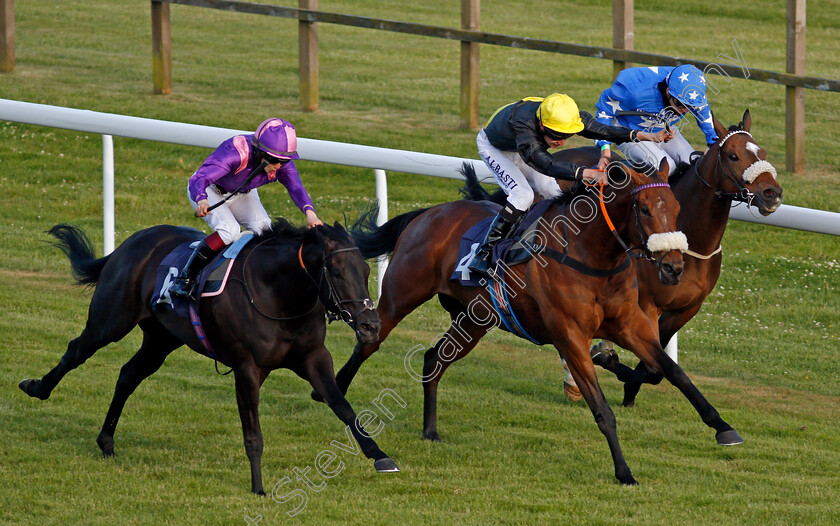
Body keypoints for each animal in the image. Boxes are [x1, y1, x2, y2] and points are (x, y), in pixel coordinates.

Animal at [18, 221, 398, 498]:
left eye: (367, 271)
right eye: (337, 271)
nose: (370, 325)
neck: (278, 294)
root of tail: (132, 242)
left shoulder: (313, 359)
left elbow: (344, 407)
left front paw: (380, 456)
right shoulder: (247, 369)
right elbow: (253, 434)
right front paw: (258, 487)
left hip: (161, 339)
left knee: (128, 375)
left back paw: (106, 442)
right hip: (110, 321)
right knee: (76, 350)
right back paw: (37, 387)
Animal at [328, 161, 740, 486]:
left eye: (675, 207)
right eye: (643, 208)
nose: (673, 267)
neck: (592, 253)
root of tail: (430, 213)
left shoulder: (630, 325)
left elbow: (672, 372)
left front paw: (723, 427)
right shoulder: (570, 336)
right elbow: (603, 410)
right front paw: (624, 472)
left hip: (475, 320)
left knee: (434, 358)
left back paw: (430, 430)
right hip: (400, 296)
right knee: (370, 341)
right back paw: (335, 394)